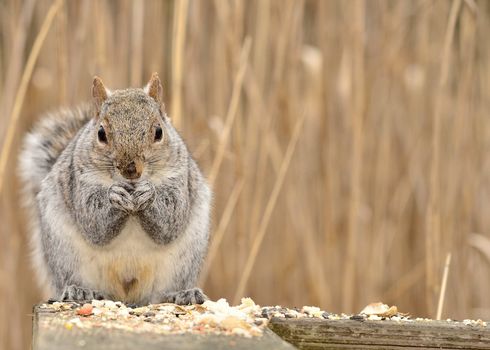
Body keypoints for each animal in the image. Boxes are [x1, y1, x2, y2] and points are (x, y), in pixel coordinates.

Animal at [19, 74, 211, 306]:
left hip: (182, 265)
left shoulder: (179, 181)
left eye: (158, 132)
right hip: (65, 256)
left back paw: (182, 294)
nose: (130, 169)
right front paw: (115, 196)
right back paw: (80, 291)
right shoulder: (80, 182)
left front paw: (149, 194)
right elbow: (93, 224)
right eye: (101, 133)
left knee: (161, 295)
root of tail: (126, 295)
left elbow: (172, 220)